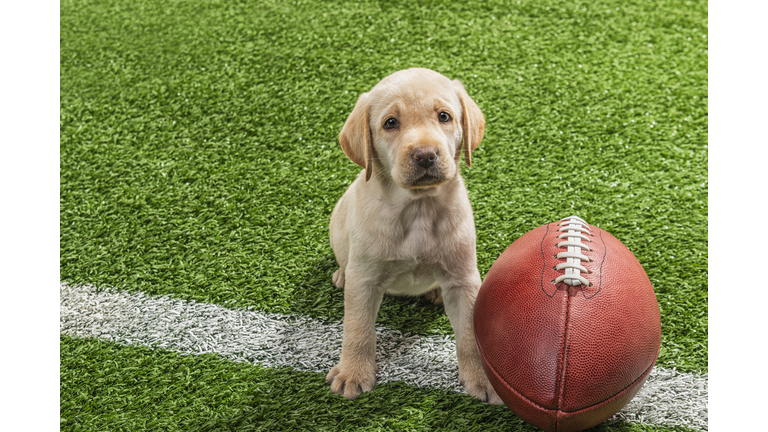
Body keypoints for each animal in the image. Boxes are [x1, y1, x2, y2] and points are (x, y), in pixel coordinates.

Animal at [324, 66, 498, 402]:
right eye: (390, 123)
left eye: (444, 116)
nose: (425, 155)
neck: (418, 208)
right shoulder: (364, 280)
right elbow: (358, 329)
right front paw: (353, 373)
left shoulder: (463, 280)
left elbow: (470, 335)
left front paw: (483, 378)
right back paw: (340, 275)